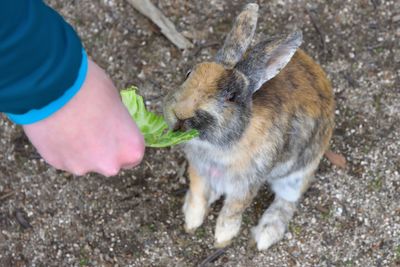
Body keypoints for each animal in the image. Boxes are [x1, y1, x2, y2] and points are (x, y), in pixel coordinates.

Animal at [162, 3, 334, 251]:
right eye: (188, 74)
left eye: (232, 97)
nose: (180, 114)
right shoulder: (199, 170)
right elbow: (197, 195)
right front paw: (191, 222)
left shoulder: (247, 183)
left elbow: (233, 210)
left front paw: (222, 239)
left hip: (297, 173)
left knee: (287, 201)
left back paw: (265, 234)